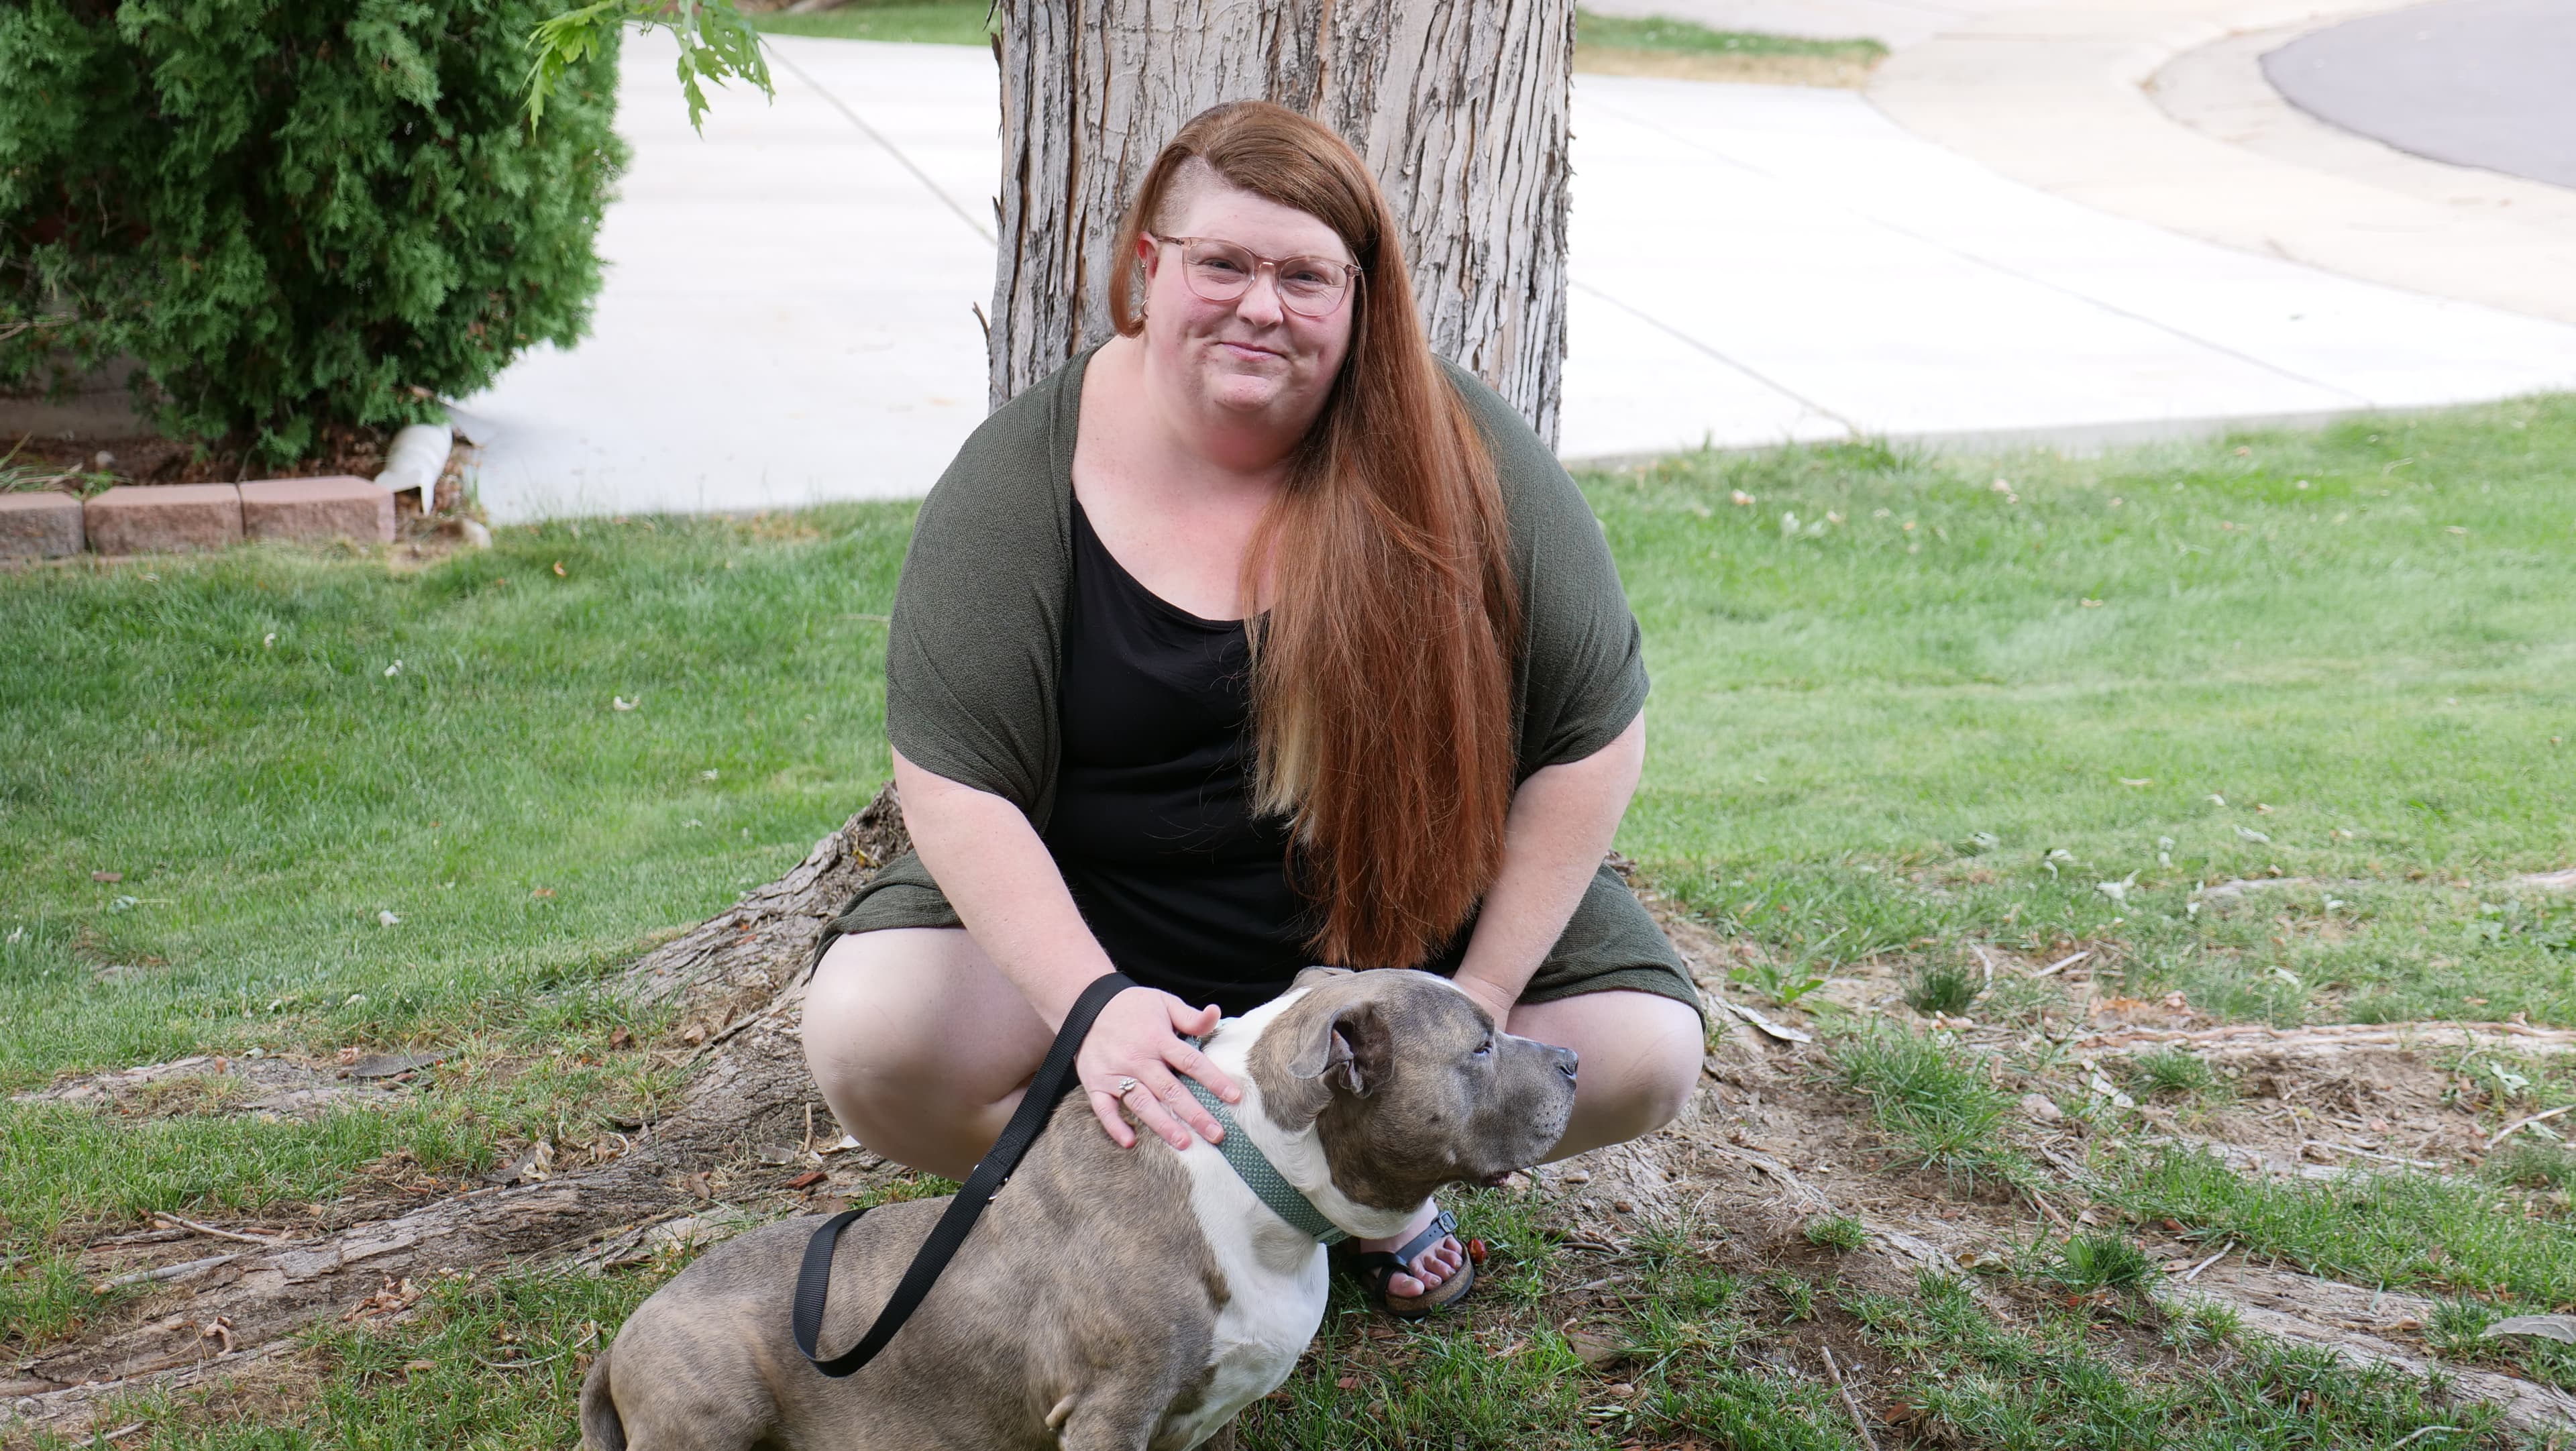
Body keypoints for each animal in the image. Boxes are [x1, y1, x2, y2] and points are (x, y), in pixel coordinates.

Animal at [582, 963, 1576, 1451]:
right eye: (1480, 1048)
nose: (1569, 1058)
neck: (1255, 1182)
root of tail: (617, 1341)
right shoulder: (1109, 1411)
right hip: (712, 1408)